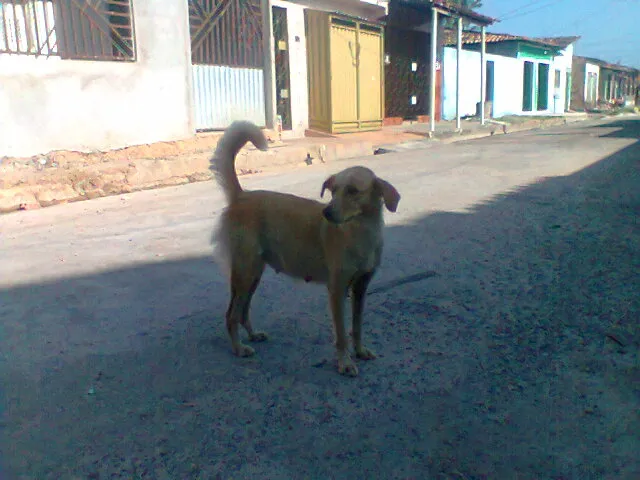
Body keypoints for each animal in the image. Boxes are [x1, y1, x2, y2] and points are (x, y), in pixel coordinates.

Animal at [211, 120, 400, 376]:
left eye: (353, 190)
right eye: (333, 191)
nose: (327, 212)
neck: (360, 232)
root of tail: (241, 196)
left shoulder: (361, 288)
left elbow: (357, 326)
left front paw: (360, 351)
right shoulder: (336, 290)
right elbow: (342, 334)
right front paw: (345, 362)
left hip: (253, 274)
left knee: (242, 311)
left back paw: (252, 335)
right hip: (245, 272)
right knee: (231, 314)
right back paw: (238, 348)